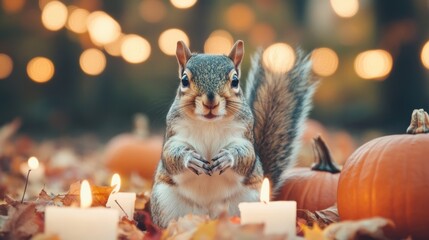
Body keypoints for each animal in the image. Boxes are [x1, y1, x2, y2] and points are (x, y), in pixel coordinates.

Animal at [151, 39, 318, 227]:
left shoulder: (244, 136)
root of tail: (210, 218)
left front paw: (228, 157)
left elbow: (246, 155)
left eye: (235, 81)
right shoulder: (174, 134)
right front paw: (190, 158)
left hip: (249, 199)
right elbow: (171, 154)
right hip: (165, 202)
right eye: (184, 80)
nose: (210, 101)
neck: (210, 124)